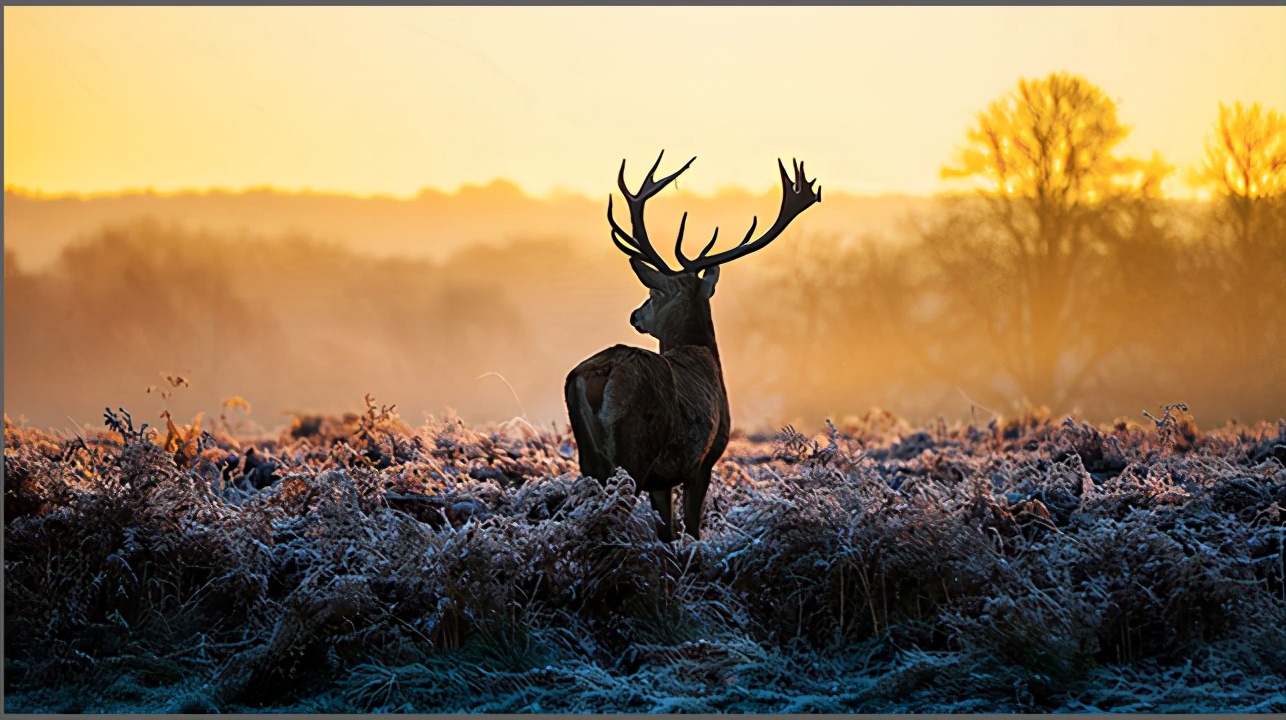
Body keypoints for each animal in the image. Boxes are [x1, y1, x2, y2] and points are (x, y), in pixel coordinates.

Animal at [563, 151, 823, 540]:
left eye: (653, 292)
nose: (635, 315)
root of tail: (599, 373)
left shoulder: (663, 479)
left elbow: (668, 533)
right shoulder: (703, 461)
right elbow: (692, 530)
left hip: (589, 458)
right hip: (634, 450)